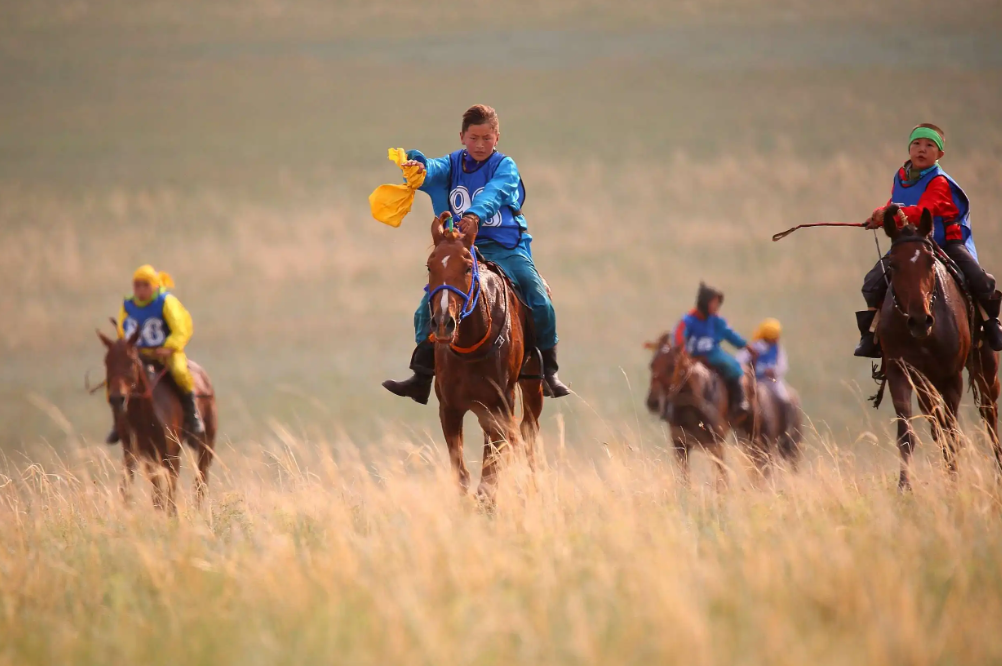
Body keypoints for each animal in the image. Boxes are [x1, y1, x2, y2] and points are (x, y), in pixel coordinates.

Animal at [97, 324, 217, 510]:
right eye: (107, 361)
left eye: (132, 361)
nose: (117, 398)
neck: (144, 417)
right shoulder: (136, 453)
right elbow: (133, 490)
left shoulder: (170, 454)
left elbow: (169, 495)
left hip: (206, 444)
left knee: (201, 481)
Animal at [426, 213, 545, 498]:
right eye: (430, 267)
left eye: (468, 267)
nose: (444, 323)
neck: (472, 349)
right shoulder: (449, 410)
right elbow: (461, 476)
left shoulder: (499, 409)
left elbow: (488, 481)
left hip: (532, 387)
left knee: (529, 431)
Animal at [873, 205, 997, 490]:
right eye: (892, 265)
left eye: (930, 261)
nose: (920, 320)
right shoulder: (900, 373)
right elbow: (907, 434)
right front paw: (904, 487)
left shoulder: (952, 378)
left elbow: (951, 434)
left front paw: (954, 482)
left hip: (986, 367)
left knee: (990, 415)